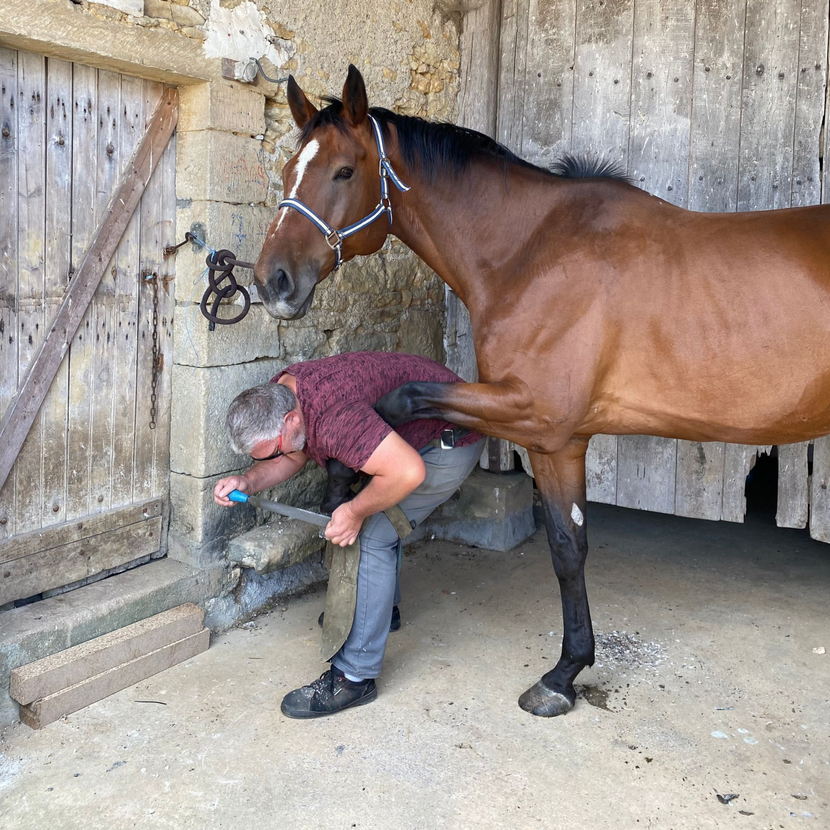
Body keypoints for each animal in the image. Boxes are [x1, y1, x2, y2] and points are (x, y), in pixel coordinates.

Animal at [253, 65, 830, 717]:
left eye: (345, 171)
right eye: (288, 169)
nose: (272, 281)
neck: (530, 253)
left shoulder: (535, 417)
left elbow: (399, 401)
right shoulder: (560, 440)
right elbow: (567, 544)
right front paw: (568, 671)